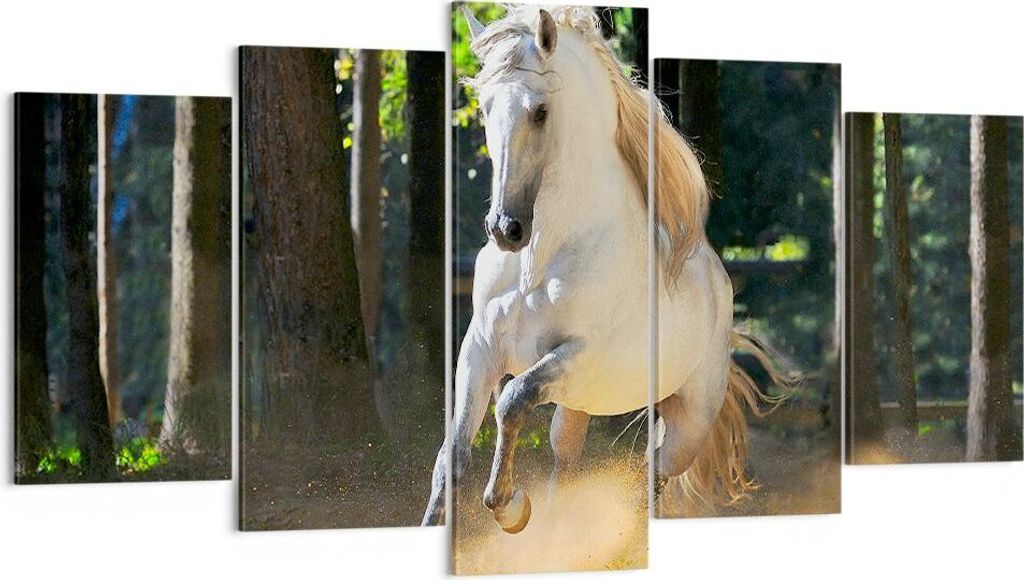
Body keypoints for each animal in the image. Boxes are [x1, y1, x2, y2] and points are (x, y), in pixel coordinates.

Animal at [423, 5, 788, 533]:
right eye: (485, 107)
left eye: (540, 111)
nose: (505, 229)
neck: (539, 262)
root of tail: (720, 286)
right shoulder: (481, 348)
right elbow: (451, 455)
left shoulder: (579, 356)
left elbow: (512, 400)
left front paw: (507, 504)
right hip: (579, 407)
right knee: (567, 460)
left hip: (686, 425)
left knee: (651, 479)